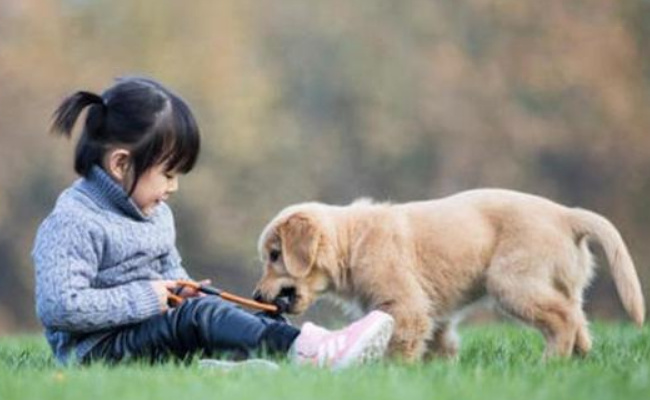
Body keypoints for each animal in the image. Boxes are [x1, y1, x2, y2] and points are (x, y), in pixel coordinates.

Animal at [252, 189, 644, 360]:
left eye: (274, 255)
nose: (256, 297)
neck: (352, 241)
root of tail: (566, 214)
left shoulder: (406, 307)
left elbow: (399, 349)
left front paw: (391, 373)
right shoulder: (434, 317)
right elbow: (440, 348)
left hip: (511, 281)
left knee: (563, 320)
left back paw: (550, 363)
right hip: (559, 284)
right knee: (578, 319)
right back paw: (577, 361)